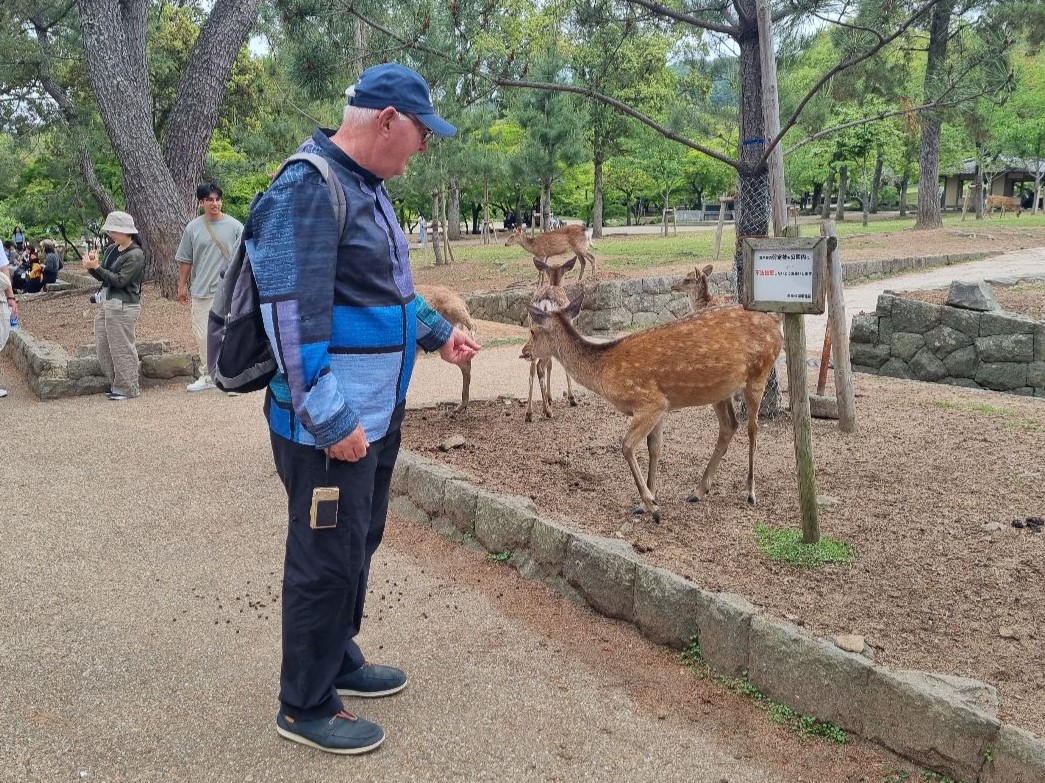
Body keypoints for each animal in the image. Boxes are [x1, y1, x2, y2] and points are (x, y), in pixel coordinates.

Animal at [519, 256, 579, 422]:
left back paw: (529, 412)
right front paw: (571, 398)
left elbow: (550, 365)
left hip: (532, 331)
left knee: (532, 368)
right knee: (539, 367)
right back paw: (547, 411)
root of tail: (545, 302)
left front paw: (550, 397)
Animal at [526, 295, 783, 522]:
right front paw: (646, 501)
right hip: (720, 391)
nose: (524, 351)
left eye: (533, 331)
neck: (605, 372)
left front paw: (652, 506)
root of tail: (775, 322)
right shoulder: (662, 406)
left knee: (753, 428)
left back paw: (750, 492)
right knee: (729, 425)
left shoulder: (650, 402)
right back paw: (698, 491)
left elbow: (627, 446)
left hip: (759, 373)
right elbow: (654, 448)